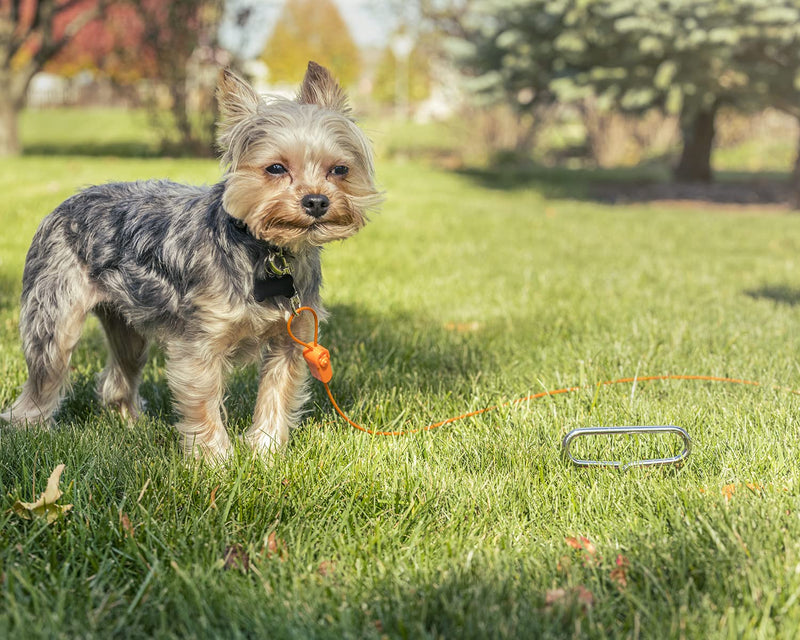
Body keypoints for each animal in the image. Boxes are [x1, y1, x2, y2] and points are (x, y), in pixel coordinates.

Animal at [0, 61, 382, 460]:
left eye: (340, 170)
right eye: (276, 168)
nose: (317, 201)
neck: (266, 251)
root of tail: (67, 201)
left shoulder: (291, 337)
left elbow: (277, 393)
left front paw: (265, 453)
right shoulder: (199, 342)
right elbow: (203, 402)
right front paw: (215, 460)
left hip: (127, 323)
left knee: (120, 373)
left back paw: (132, 423)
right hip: (53, 312)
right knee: (44, 375)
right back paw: (32, 430)